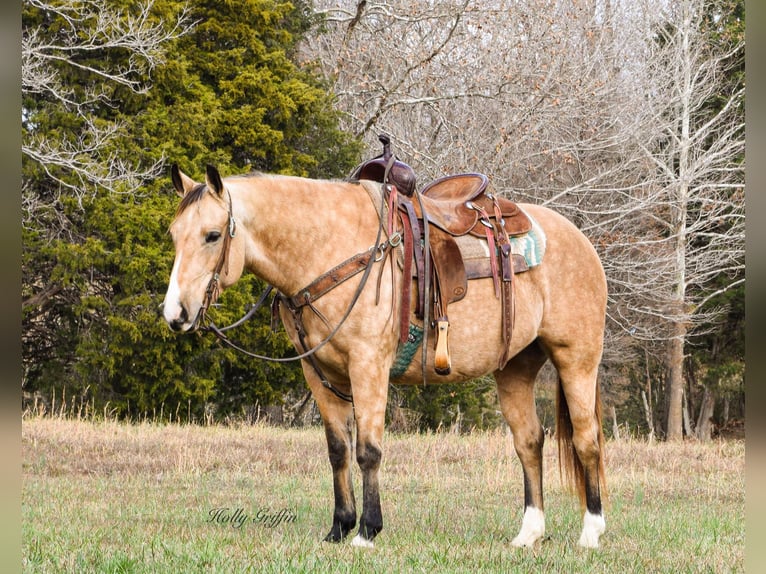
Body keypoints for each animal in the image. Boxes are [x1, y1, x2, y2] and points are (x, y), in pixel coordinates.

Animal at [162, 161, 612, 548]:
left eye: (212, 235)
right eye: (173, 234)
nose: (175, 314)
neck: (328, 248)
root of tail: (581, 241)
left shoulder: (368, 366)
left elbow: (368, 450)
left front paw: (367, 530)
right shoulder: (319, 374)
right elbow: (338, 450)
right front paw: (339, 527)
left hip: (577, 359)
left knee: (587, 440)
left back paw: (591, 532)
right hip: (516, 368)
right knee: (529, 442)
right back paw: (529, 534)